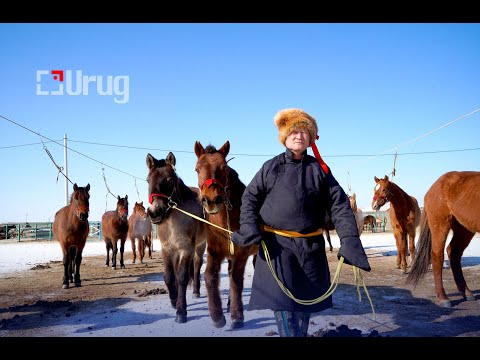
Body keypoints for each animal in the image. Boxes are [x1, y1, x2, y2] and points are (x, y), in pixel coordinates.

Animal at [146, 152, 206, 324]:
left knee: (197, 265)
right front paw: (174, 301)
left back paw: (196, 291)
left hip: (200, 246)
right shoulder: (167, 249)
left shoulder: (186, 249)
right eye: (148, 180)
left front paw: (181, 311)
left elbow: (182, 277)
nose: (155, 212)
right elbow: (168, 276)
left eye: (170, 180)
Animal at [193, 141, 258, 330]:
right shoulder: (215, 251)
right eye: (197, 169)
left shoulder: (242, 253)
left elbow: (236, 279)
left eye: (223, 167)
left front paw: (237, 317)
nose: (211, 200)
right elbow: (210, 276)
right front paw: (217, 316)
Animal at [404, 172, 480, 306]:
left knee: (454, 252)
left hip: (464, 229)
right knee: (437, 255)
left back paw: (466, 292)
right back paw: (443, 297)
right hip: (440, 224)